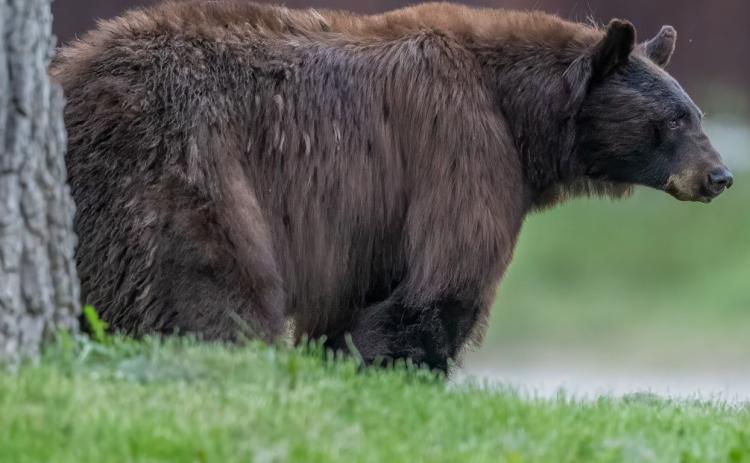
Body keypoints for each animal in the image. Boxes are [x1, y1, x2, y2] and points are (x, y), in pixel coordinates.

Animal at [52, 1, 733, 373]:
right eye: (676, 119)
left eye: (696, 113)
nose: (720, 176)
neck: (521, 114)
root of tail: (72, 75)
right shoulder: (462, 146)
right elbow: (444, 278)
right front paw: (406, 370)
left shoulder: (374, 219)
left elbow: (368, 294)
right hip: (182, 162)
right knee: (210, 291)